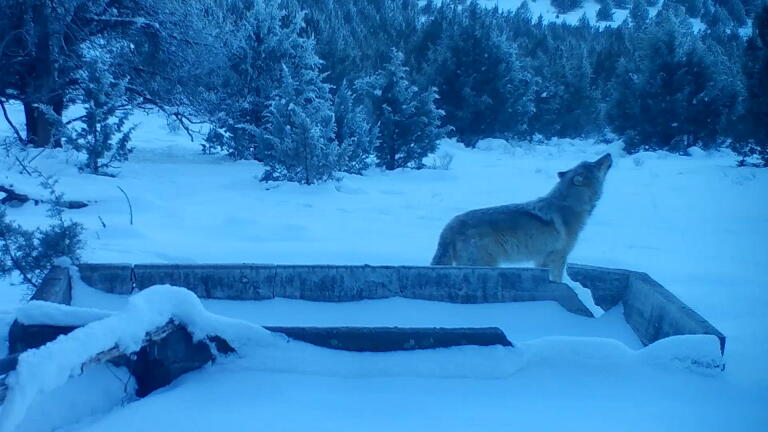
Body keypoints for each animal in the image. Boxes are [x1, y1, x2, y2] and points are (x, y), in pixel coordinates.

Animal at [430, 154, 613, 282]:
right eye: (594, 164)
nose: (609, 154)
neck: (569, 205)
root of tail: (448, 228)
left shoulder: (540, 260)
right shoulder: (558, 258)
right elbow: (558, 280)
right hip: (485, 265)